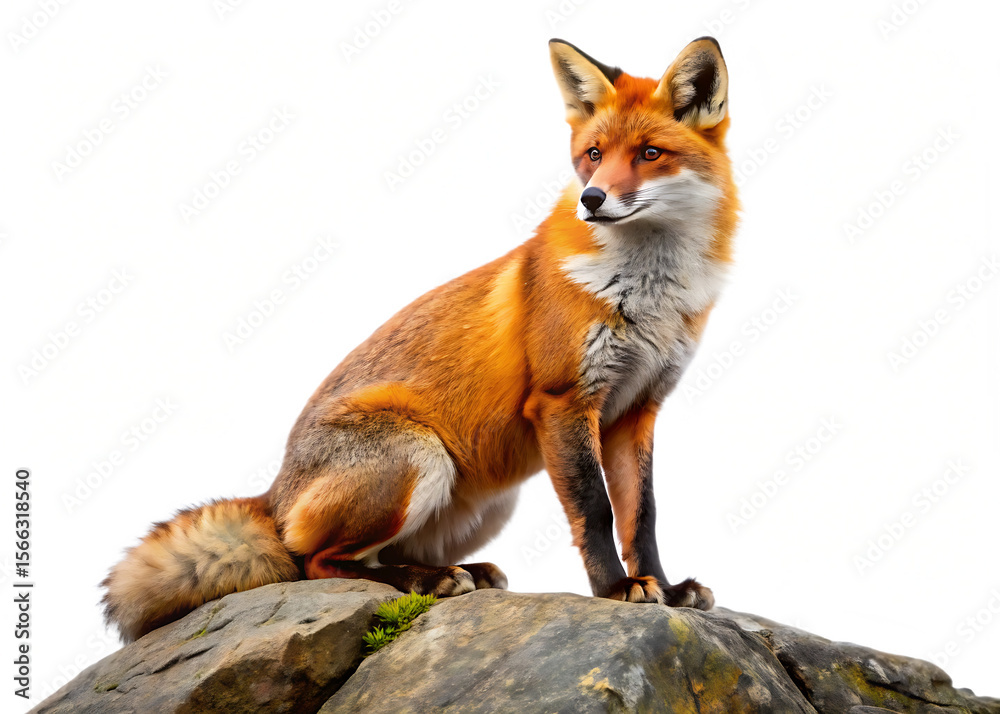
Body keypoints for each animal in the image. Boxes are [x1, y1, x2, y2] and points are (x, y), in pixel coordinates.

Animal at [102, 36, 738, 643]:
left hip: (488, 501)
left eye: (650, 154)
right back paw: (425, 579)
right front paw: (614, 589)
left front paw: (664, 586)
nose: (592, 200)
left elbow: (642, 515)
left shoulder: (636, 409)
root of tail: (274, 493)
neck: (650, 294)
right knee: (315, 561)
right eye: (594, 156)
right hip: (419, 456)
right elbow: (596, 512)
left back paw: (459, 573)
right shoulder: (564, 401)